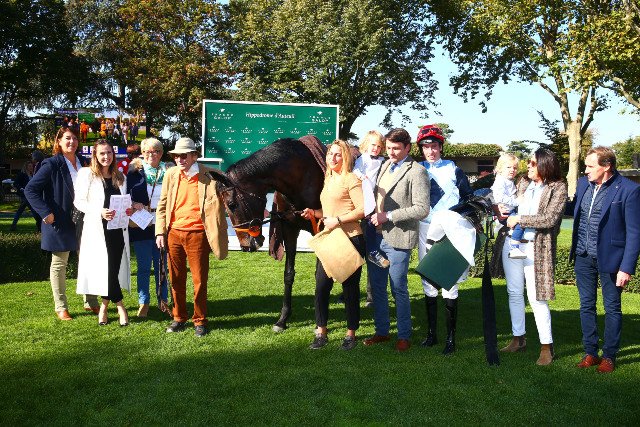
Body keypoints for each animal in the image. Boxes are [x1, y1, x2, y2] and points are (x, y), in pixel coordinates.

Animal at [208, 137, 327, 332]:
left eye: (231, 204)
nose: (245, 245)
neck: (302, 178)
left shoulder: (323, 229)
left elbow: (321, 274)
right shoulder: (289, 229)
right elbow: (288, 274)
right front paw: (283, 319)